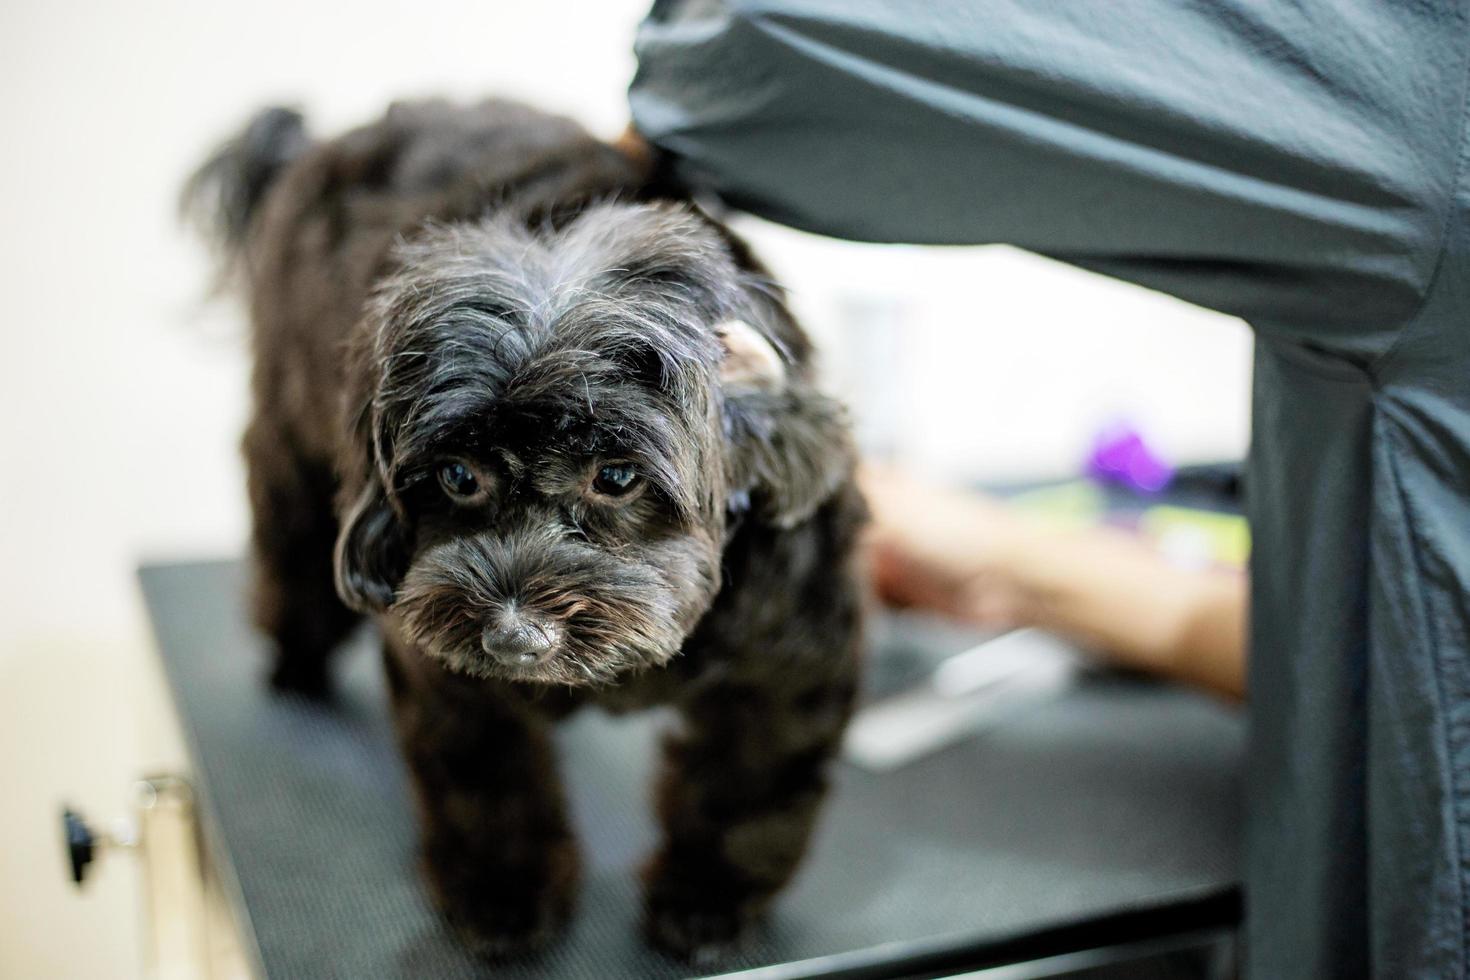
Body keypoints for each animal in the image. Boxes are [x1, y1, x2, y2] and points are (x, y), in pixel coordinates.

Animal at [188, 99, 864, 957]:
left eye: (616, 475)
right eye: (457, 476)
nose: (514, 638)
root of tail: (320, 144)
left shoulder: (792, 656)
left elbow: (747, 791)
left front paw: (708, 900)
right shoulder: (446, 664)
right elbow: (487, 779)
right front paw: (502, 895)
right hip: (293, 437)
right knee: (292, 544)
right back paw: (294, 659)